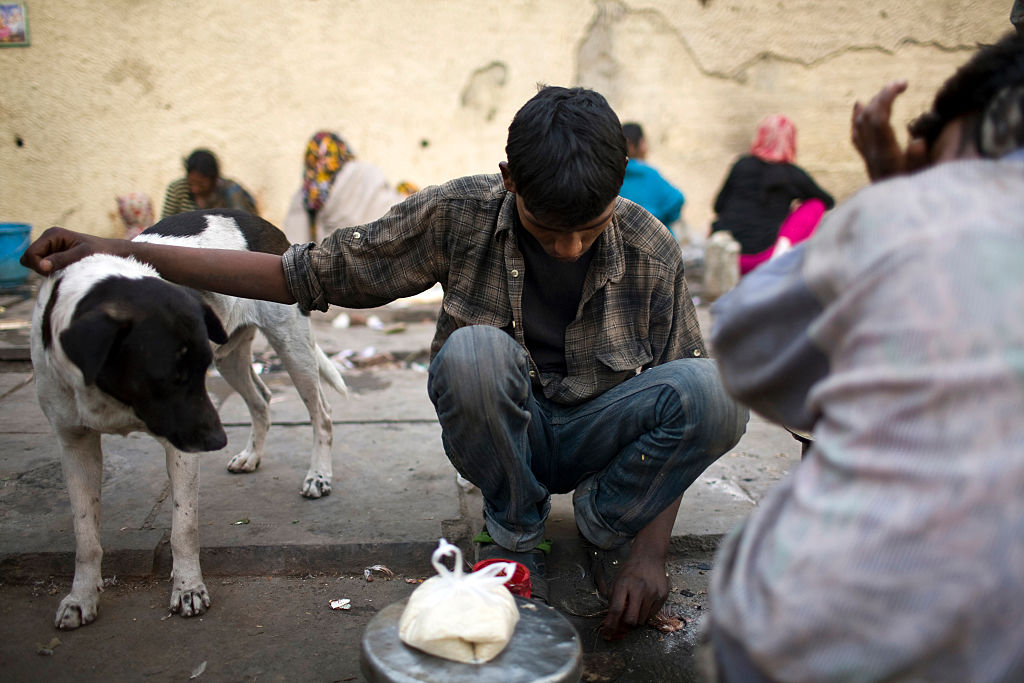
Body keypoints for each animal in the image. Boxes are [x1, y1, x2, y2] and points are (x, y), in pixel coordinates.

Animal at [32, 210, 346, 626]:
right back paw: (252, 455)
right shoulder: (74, 443)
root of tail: (262, 222)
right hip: (230, 354)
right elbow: (85, 535)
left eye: (196, 372)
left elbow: (184, 527)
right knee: (262, 400)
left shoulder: (182, 442)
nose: (216, 441)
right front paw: (81, 596)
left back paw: (318, 476)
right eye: (170, 375)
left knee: (321, 413)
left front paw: (188, 589)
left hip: (291, 344)